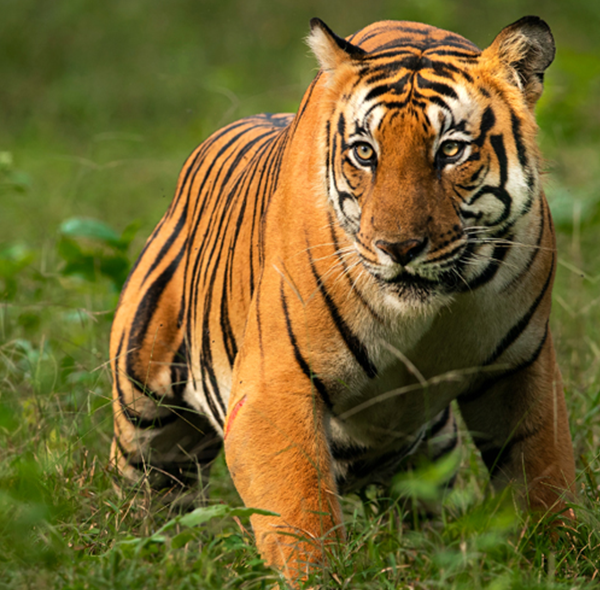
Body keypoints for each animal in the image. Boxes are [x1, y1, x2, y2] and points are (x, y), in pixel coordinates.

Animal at [111, 16, 576, 584]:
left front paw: (560, 561)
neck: (430, 311)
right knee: (153, 500)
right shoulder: (273, 388)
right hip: (146, 428)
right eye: (364, 152)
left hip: (432, 450)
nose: (399, 247)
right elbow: (302, 517)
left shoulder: (522, 366)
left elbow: (545, 478)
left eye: (450, 151)